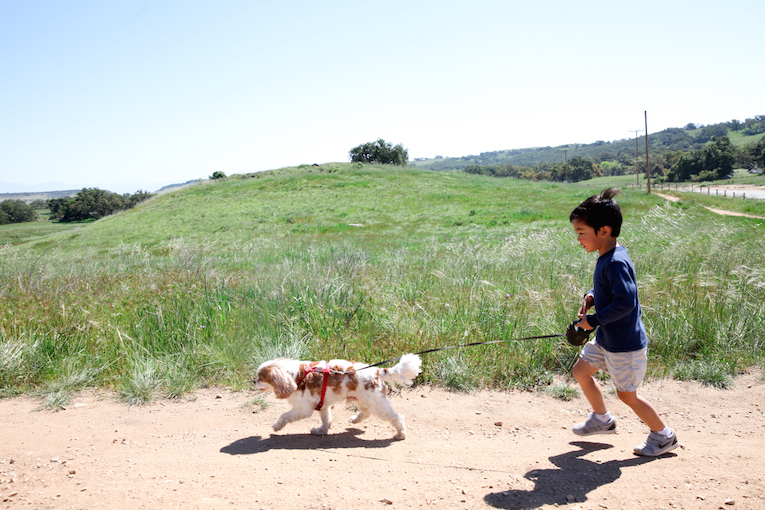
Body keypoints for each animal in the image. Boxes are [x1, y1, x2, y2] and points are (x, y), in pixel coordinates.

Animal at [256, 354, 424, 438]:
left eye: (260, 378)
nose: (253, 381)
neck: (297, 376)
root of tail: (377, 371)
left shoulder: (302, 409)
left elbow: (284, 415)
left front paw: (277, 426)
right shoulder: (322, 405)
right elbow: (326, 420)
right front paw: (321, 431)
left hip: (377, 403)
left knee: (396, 417)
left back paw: (401, 434)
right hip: (362, 399)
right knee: (366, 412)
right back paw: (355, 420)